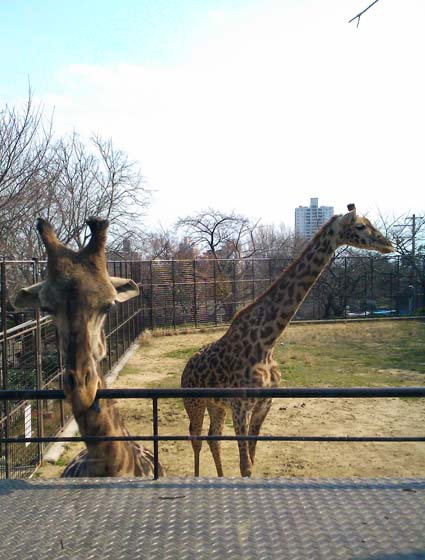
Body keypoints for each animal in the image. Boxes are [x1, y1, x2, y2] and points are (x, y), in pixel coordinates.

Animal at [181, 206, 392, 476]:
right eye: (360, 226)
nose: (388, 244)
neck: (267, 341)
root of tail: (186, 367)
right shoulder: (240, 407)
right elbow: (245, 466)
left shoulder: (263, 406)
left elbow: (251, 459)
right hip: (194, 401)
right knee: (195, 437)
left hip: (215, 405)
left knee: (212, 437)